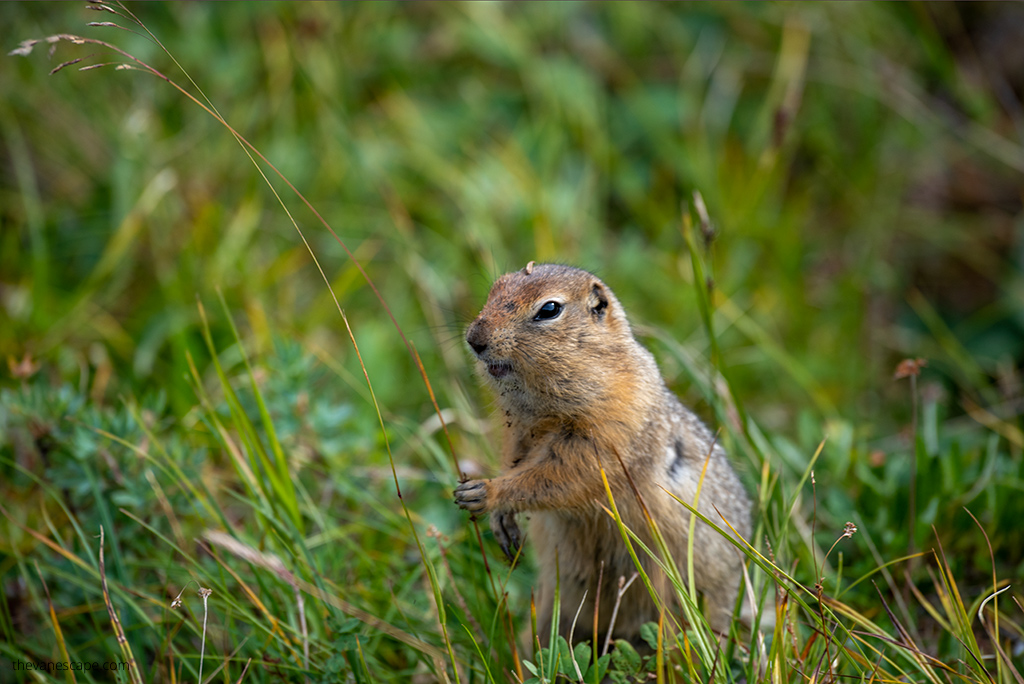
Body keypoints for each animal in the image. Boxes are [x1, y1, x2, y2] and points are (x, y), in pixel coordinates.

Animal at [454, 262, 752, 642]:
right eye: (496, 288)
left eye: (549, 309)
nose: (474, 340)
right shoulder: (517, 434)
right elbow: (516, 462)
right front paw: (499, 520)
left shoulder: (605, 434)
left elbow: (562, 475)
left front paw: (485, 492)